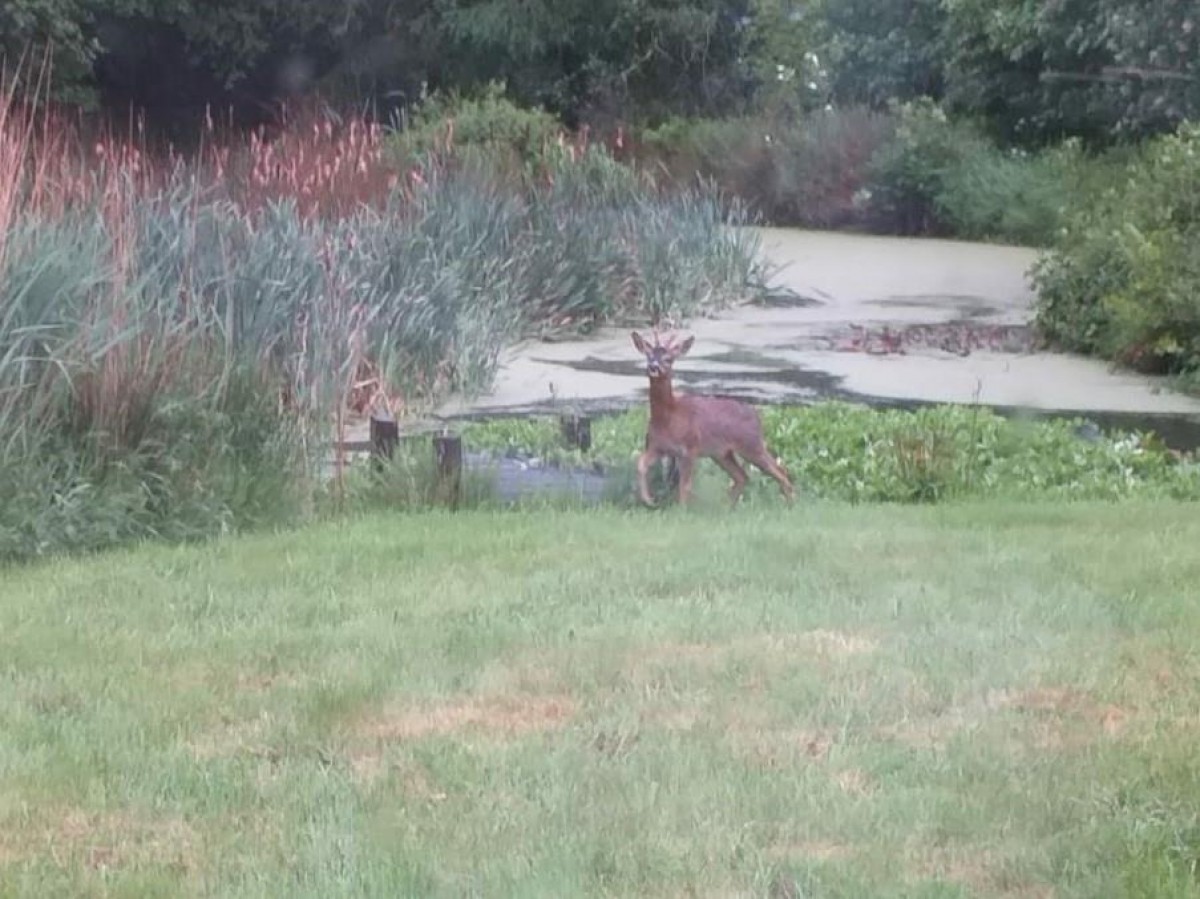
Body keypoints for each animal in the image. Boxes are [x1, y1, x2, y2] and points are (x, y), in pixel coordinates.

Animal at [628, 328, 796, 508]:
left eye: (668, 359)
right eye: (648, 356)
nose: (653, 367)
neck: (669, 417)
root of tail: (757, 415)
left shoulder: (690, 448)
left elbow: (684, 486)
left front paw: (681, 509)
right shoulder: (656, 446)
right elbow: (640, 464)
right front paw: (649, 499)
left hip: (752, 444)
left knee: (780, 471)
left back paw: (790, 505)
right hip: (722, 453)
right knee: (742, 476)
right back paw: (727, 507)